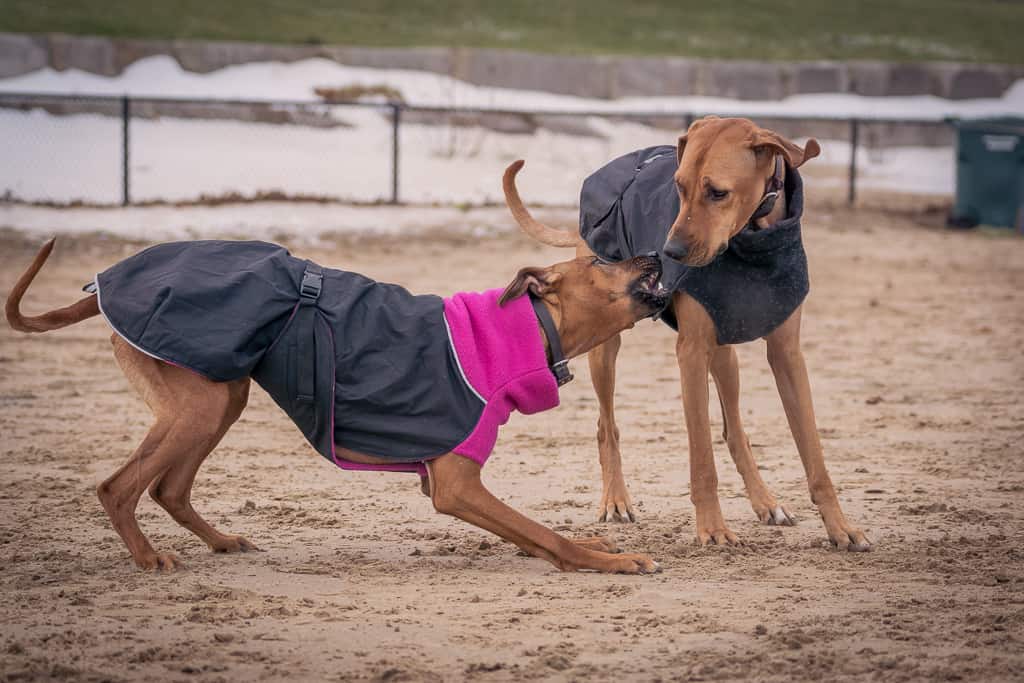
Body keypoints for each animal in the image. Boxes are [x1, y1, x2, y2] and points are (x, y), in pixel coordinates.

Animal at [6, 201, 671, 573]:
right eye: (602, 262)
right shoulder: (456, 485)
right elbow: (544, 534)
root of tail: (104, 284)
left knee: (169, 487)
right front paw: (611, 560)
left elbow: (538, 536)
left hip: (219, 398)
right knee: (118, 487)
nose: (654, 256)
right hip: (196, 405)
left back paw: (219, 542)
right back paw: (148, 559)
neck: (521, 330)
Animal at [503, 117, 872, 552]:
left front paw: (840, 527)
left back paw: (765, 502)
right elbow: (702, 459)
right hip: (606, 341)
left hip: (725, 356)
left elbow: (813, 454)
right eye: (678, 186)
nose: (669, 253)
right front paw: (712, 528)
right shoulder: (692, 352)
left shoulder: (786, 354)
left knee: (734, 431)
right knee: (606, 426)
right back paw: (616, 499)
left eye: (718, 192)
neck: (753, 241)